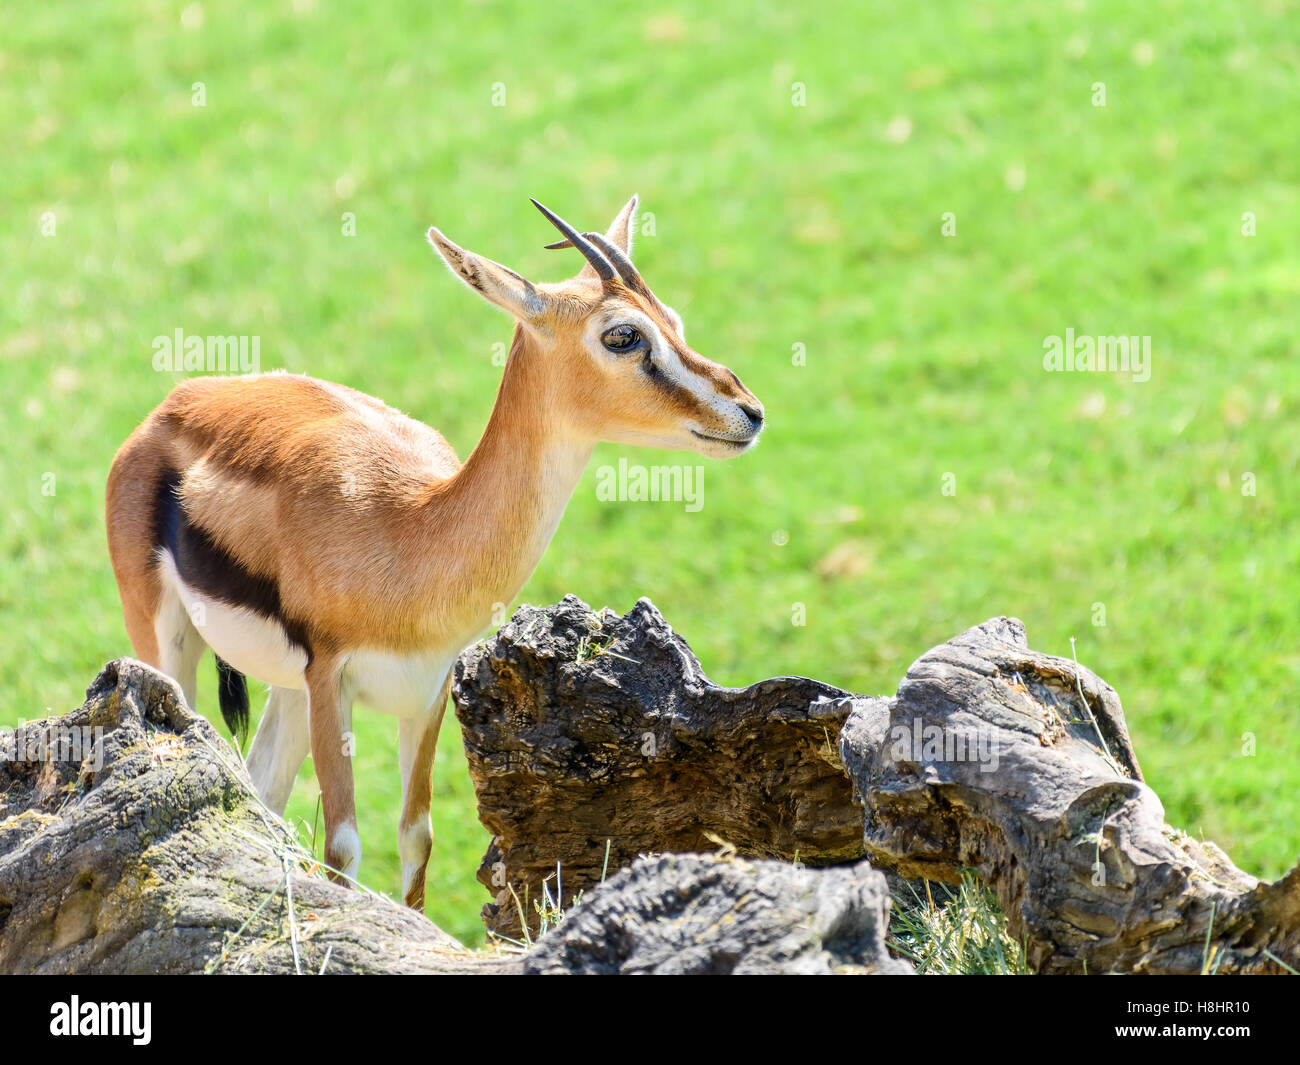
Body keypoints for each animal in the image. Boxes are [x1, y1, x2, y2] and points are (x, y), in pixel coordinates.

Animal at [105, 197, 764, 909]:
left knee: (265, 796)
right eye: (623, 336)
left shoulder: (428, 687)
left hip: (287, 690)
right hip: (171, 643)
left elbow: (416, 837)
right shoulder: (331, 679)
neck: (414, 531)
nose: (749, 411)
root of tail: (177, 402)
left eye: (673, 320)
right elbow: (344, 845)